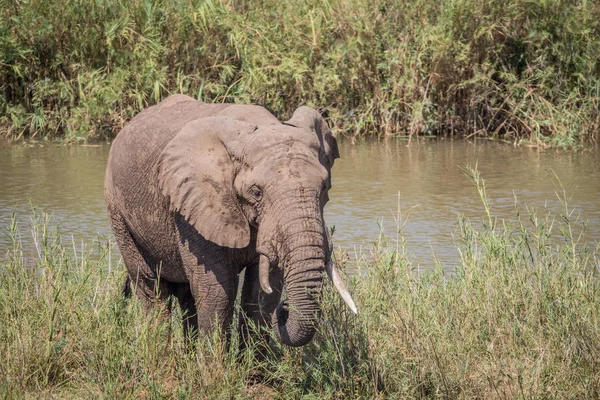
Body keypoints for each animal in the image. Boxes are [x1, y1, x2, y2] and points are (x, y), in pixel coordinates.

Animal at [104, 94, 356, 350]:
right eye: (257, 192)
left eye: (324, 188)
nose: (285, 309)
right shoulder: (193, 208)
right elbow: (218, 292)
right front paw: (215, 362)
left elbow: (262, 293)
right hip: (118, 212)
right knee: (152, 290)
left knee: (186, 296)